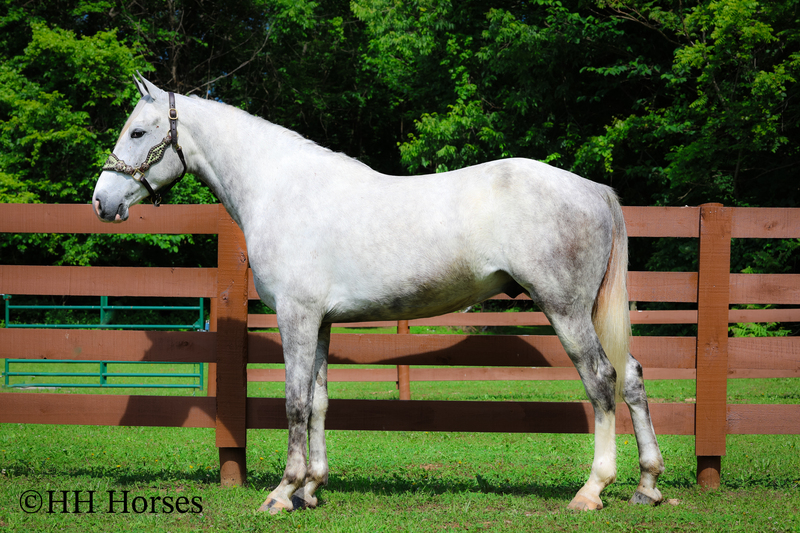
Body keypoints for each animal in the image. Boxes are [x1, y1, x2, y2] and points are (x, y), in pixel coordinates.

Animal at [93, 74, 664, 513]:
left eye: (138, 131)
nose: (102, 201)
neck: (281, 189)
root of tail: (593, 189)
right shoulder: (320, 322)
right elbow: (320, 401)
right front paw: (311, 490)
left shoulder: (297, 318)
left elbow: (295, 402)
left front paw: (282, 493)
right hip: (588, 313)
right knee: (633, 376)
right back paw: (648, 485)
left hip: (565, 310)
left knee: (602, 380)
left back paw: (592, 490)